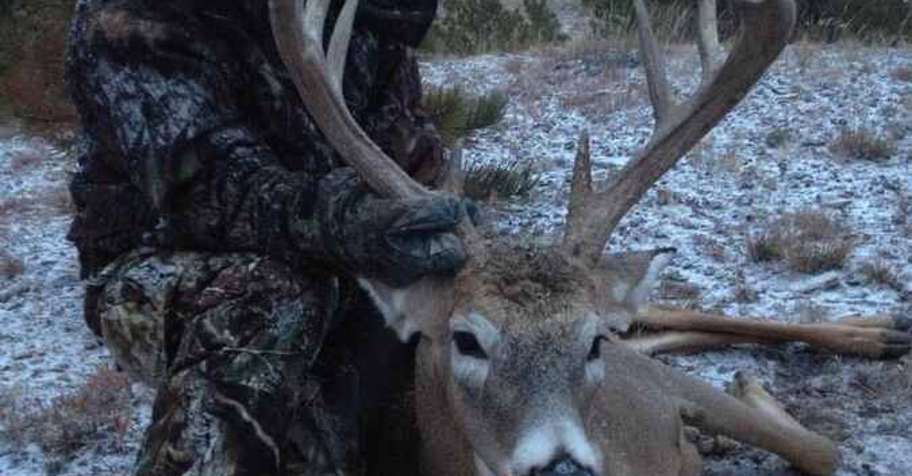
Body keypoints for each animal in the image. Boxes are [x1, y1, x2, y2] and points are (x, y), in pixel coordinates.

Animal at [268, 0, 912, 475]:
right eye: (466, 340)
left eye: (592, 341)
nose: (561, 467)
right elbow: (821, 448)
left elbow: (821, 448)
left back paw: (880, 332)